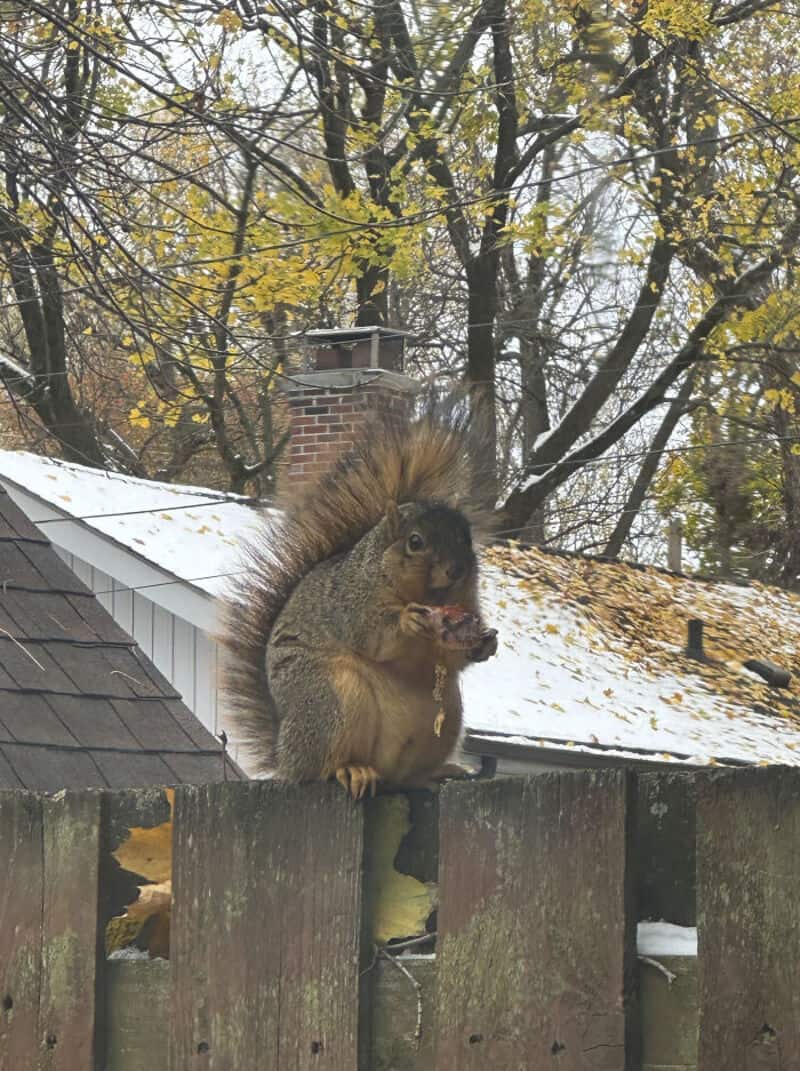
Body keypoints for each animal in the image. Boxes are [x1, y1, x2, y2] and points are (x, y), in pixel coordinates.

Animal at [223, 408, 498, 799]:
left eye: (467, 540)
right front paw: (407, 622)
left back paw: (436, 774)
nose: (457, 569)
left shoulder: (463, 604)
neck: (426, 596)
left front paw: (485, 644)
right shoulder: (350, 601)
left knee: (407, 776)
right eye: (415, 542)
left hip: (447, 717)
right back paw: (352, 770)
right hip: (331, 700)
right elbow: (370, 635)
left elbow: (453, 659)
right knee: (323, 766)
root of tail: (286, 757)